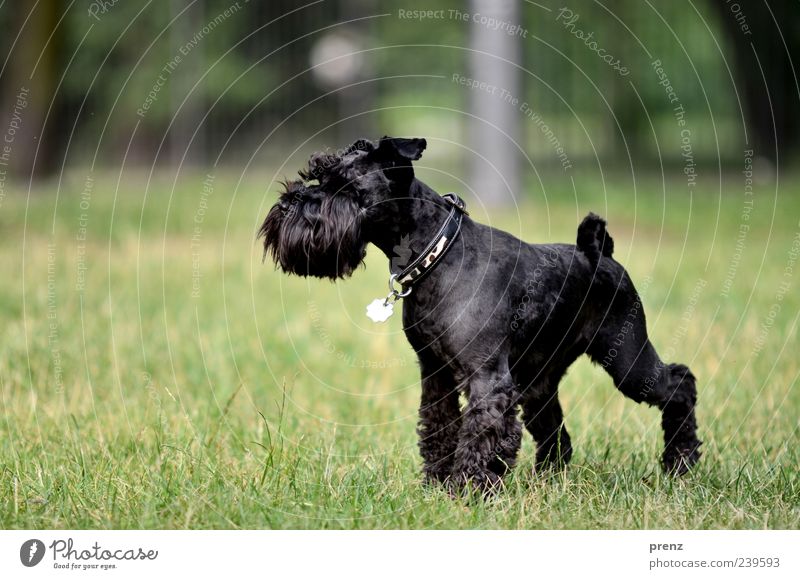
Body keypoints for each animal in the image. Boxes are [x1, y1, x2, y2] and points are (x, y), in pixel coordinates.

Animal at [258, 137, 700, 494]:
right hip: (537, 382)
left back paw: (680, 463)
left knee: (680, 383)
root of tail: (600, 254)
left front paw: (467, 492)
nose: (288, 204)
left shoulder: (488, 379)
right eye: (316, 175)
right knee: (555, 432)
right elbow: (439, 427)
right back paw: (548, 482)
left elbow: (480, 434)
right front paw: (437, 485)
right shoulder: (435, 373)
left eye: (345, 187)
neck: (438, 255)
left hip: (628, 361)